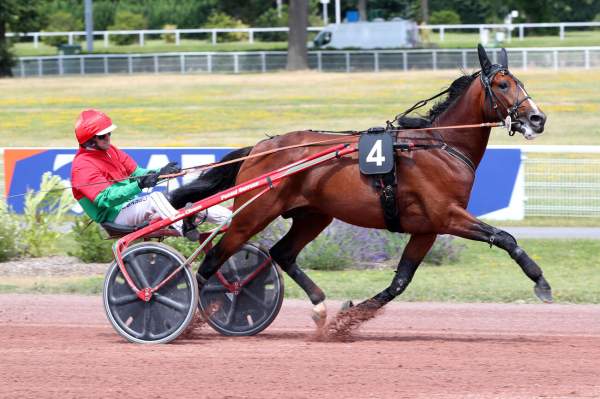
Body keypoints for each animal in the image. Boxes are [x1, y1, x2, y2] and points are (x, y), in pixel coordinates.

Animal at [168, 44, 548, 332]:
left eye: (518, 81)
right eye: (502, 84)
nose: (537, 118)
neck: (439, 145)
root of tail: (261, 147)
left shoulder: (427, 228)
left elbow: (399, 282)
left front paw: (348, 318)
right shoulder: (448, 216)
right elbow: (505, 238)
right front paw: (541, 282)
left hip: (313, 215)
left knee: (282, 253)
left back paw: (319, 306)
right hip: (254, 214)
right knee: (212, 260)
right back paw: (186, 316)